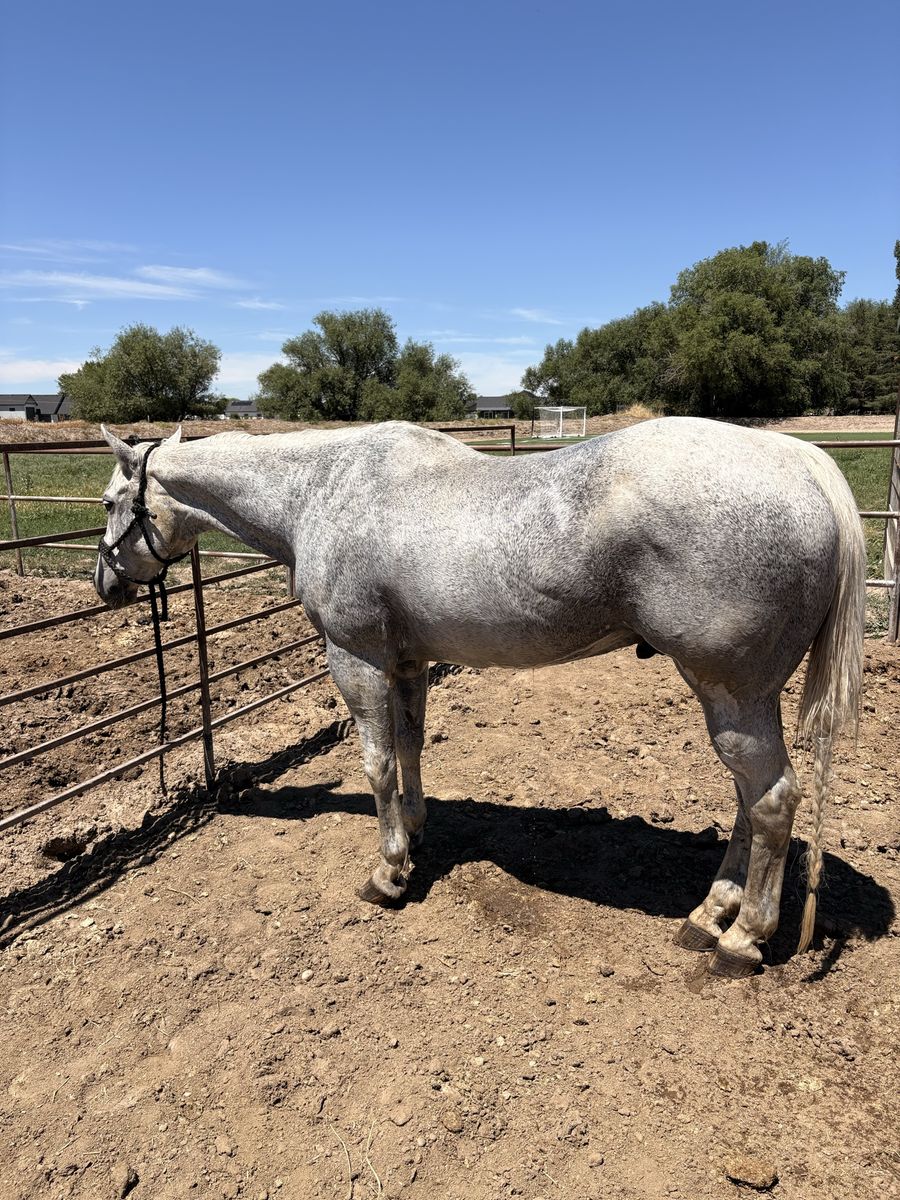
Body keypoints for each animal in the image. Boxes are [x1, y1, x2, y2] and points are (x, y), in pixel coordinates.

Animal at [94, 417, 865, 978]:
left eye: (107, 503)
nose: (105, 584)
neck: (321, 489)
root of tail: (807, 465)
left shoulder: (356, 660)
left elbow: (377, 764)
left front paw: (388, 873)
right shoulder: (407, 663)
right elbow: (409, 748)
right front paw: (414, 833)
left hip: (731, 695)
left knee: (771, 801)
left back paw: (742, 939)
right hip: (740, 701)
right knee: (749, 800)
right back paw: (710, 916)